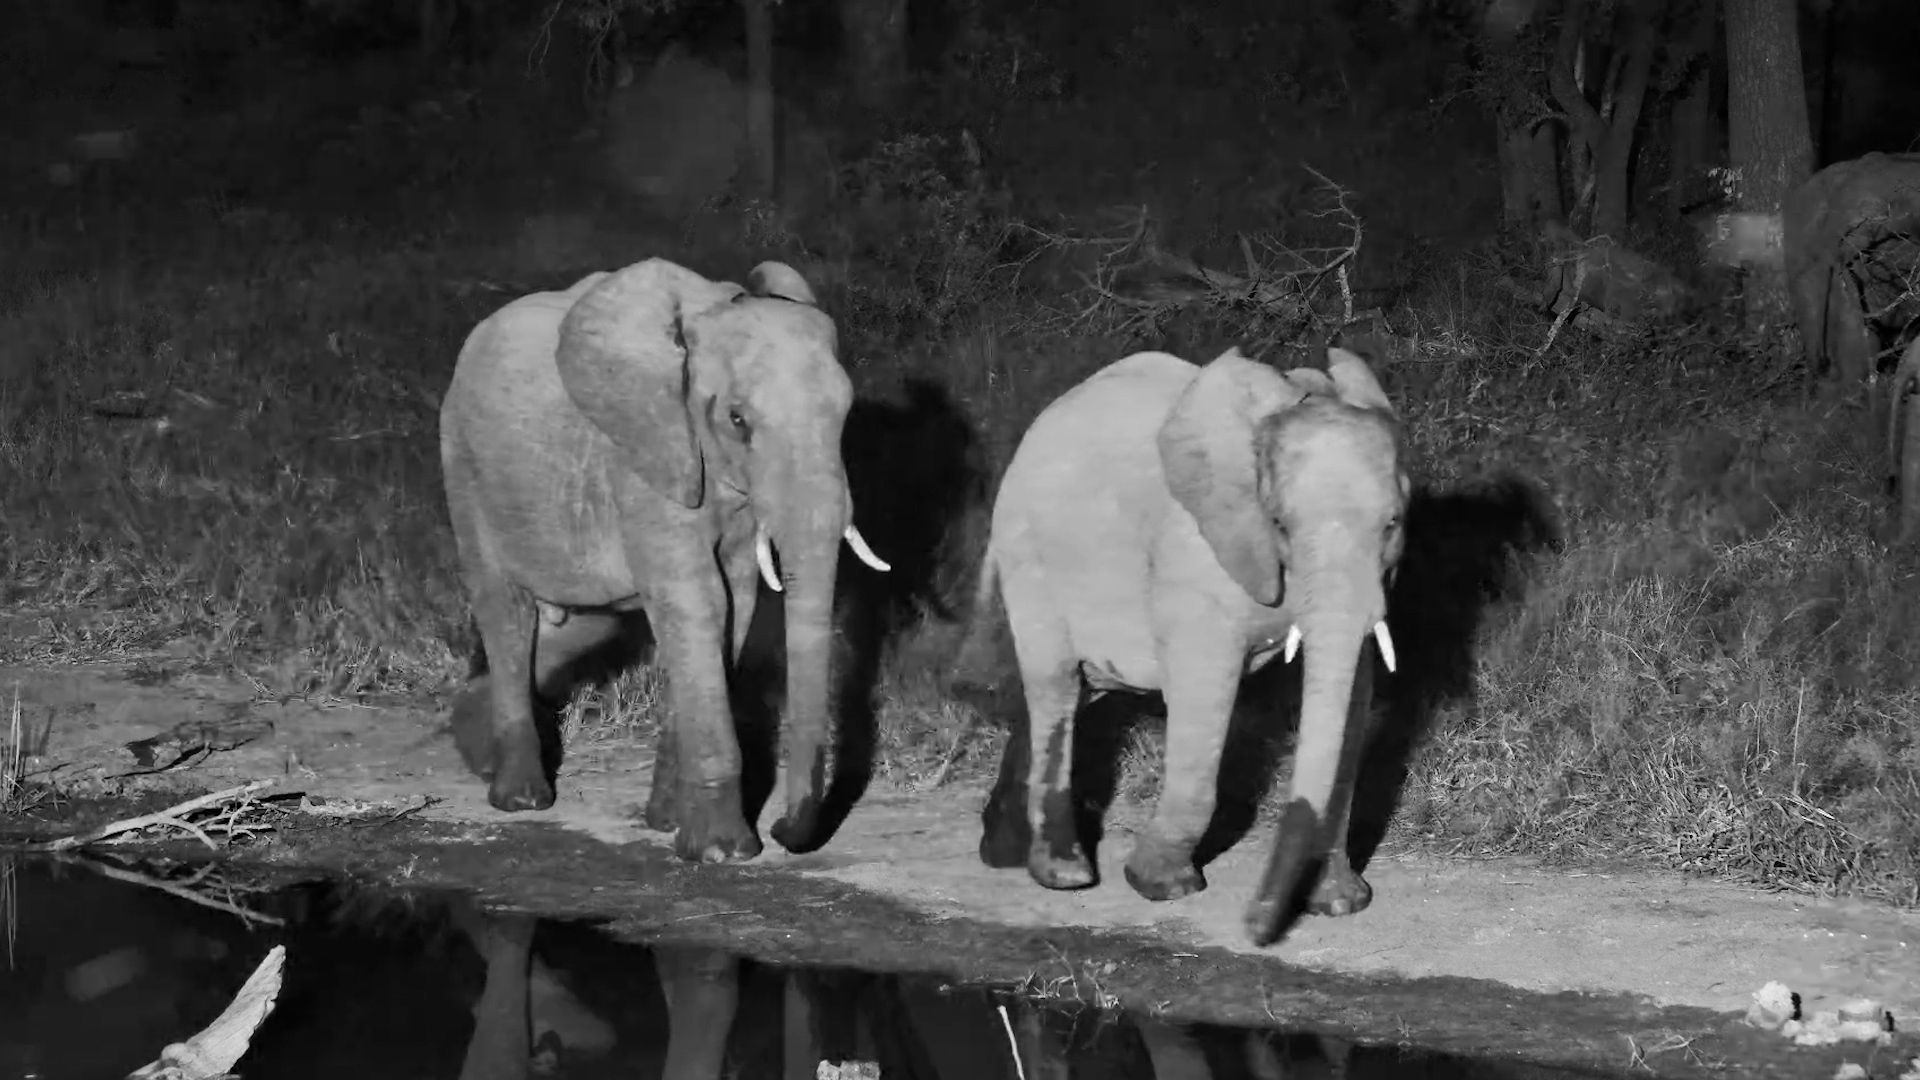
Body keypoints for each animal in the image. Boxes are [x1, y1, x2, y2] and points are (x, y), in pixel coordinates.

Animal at [438, 256, 890, 862]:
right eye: (738, 420)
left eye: (844, 415)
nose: (782, 831)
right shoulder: (646, 459)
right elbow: (698, 602)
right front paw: (722, 853)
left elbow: (733, 606)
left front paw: (669, 823)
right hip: (465, 466)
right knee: (508, 614)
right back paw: (520, 798)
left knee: (580, 626)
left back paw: (473, 742)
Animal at [966, 344, 1407, 946]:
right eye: (1277, 524)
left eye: (1392, 524)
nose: (1255, 926)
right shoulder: (1194, 554)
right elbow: (1204, 689)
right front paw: (1161, 887)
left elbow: (1352, 708)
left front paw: (1339, 904)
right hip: (1028, 553)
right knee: (1055, 686)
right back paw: (1064, 873)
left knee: (1073, 691)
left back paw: (1004, 855)